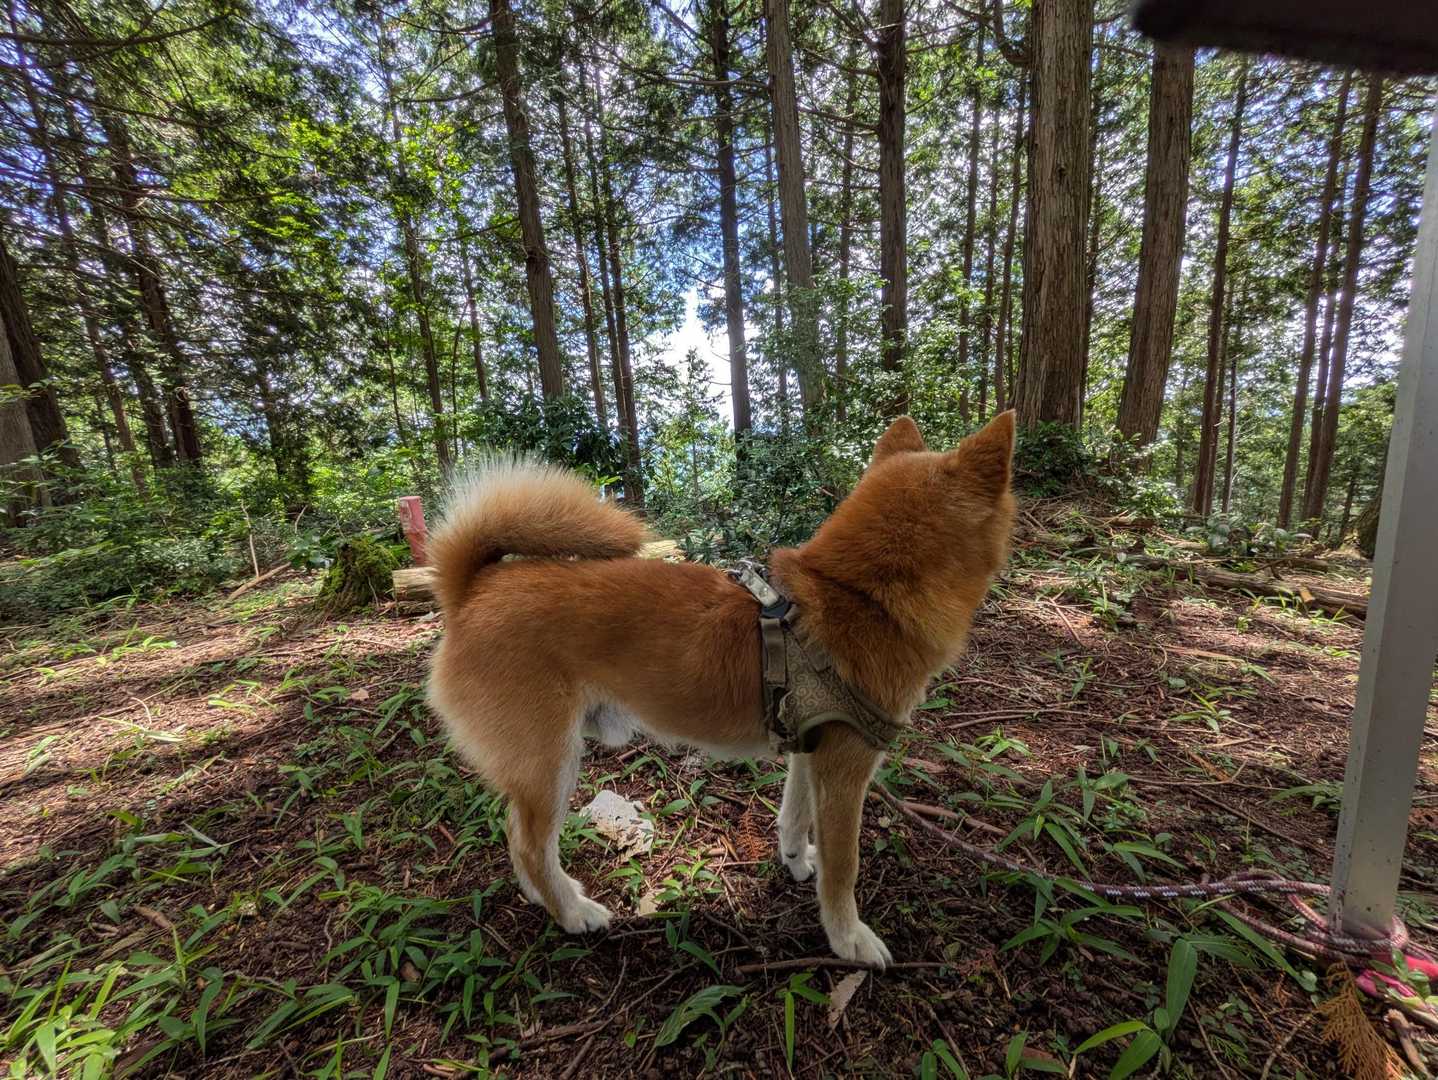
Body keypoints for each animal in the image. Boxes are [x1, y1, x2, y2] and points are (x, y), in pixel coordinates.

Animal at [425, 411, 1016, 967]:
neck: (860, 596)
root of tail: (472, 590)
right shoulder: (846, 766)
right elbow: (843, 866)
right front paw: (847, 937)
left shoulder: (810, 749)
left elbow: (794, 818)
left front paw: (796, 861)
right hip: (551, 764)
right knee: (531, 846)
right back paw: (571, 912)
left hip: (536, 768)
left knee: (517, 835)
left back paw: (547, 895)